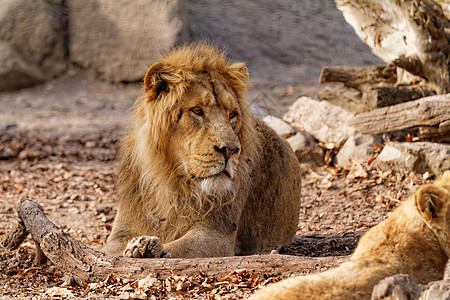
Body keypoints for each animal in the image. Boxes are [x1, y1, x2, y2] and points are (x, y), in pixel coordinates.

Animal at [104, 44, 302, 258]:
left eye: (232, 114)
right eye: (197, 110)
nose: (231, 150)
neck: (170, 184)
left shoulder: (217, 234)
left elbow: (178, 248)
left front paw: (150, 247)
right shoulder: (120, 233)